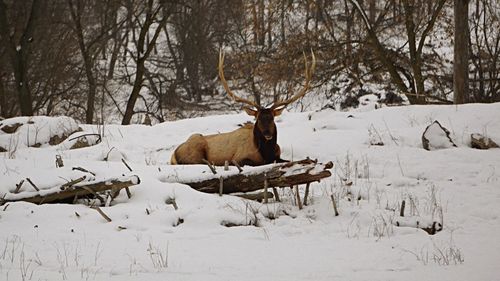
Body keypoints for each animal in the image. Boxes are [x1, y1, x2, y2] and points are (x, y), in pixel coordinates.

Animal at [170, 49, 314, 166]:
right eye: (258, 119)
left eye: (272, 118)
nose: (267, 134)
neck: (267, 152)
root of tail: (174, 154)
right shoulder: (239, 158)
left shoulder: (277, 156)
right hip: (196, 150)